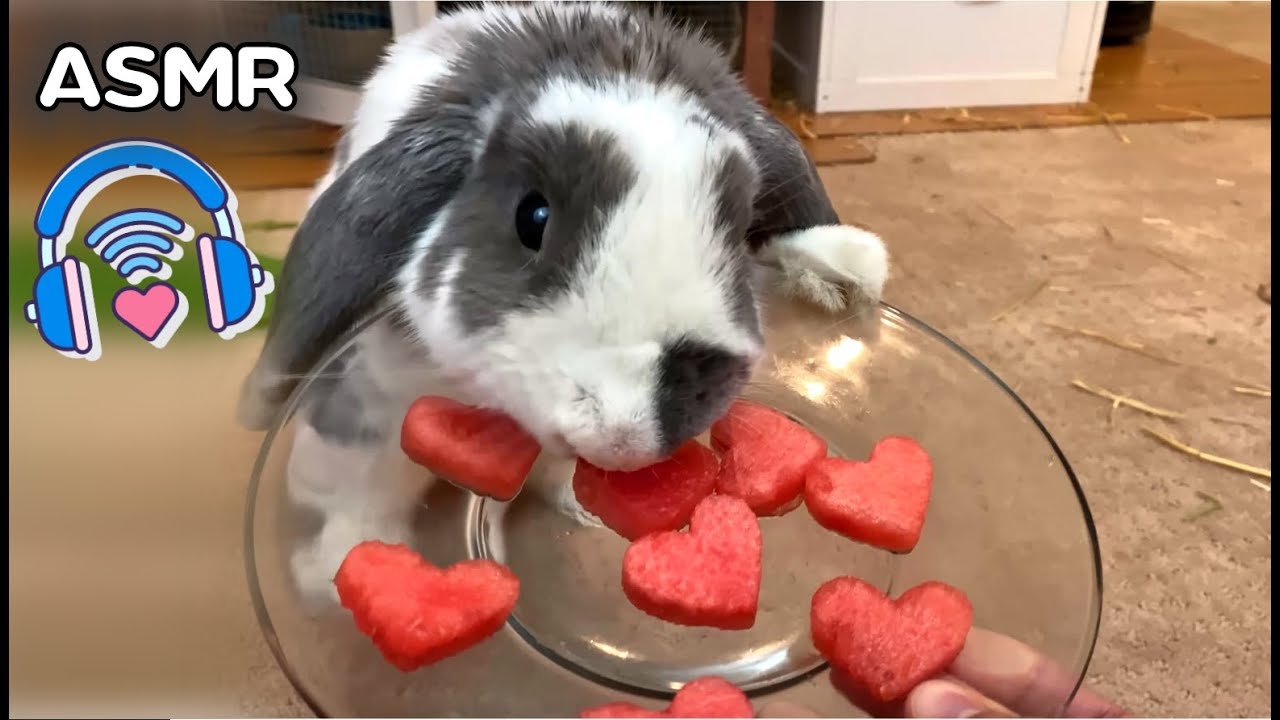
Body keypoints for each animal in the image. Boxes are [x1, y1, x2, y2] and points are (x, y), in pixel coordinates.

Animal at [238, 2, 890, 608]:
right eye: (533, 216)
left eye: (742, 228)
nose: (622, 438)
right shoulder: (372, 400)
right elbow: (364, 481)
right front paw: (337, 572)